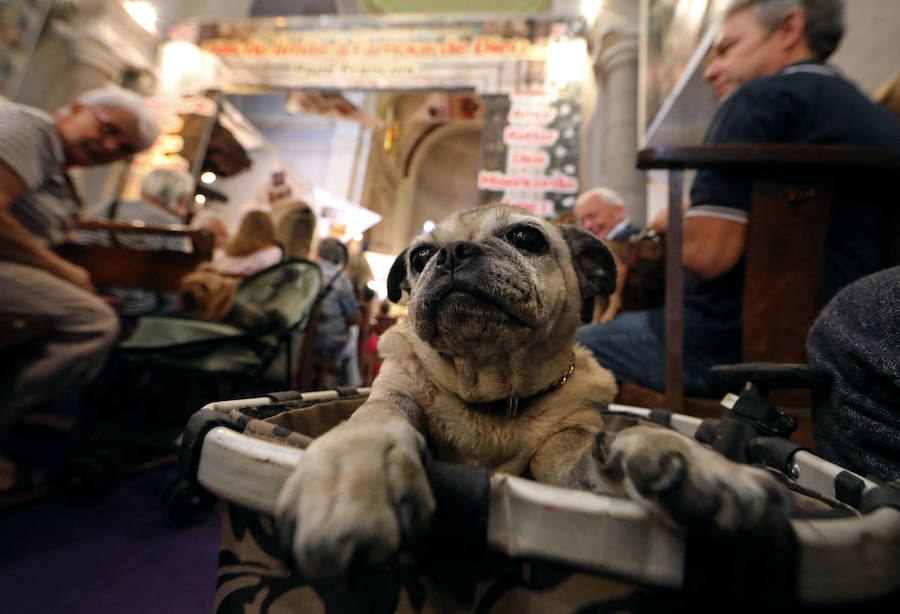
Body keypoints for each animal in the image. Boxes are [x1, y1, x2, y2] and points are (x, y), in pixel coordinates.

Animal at [276, 205, 788, 580]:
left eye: (526, 238)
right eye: (420, 257)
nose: (452, 253)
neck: (493, 390)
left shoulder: (565, 444)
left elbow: (590, 447)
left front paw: (681, 457)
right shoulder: (392, 396)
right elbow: (376, 420)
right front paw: (354, 468)